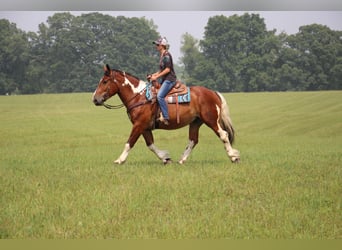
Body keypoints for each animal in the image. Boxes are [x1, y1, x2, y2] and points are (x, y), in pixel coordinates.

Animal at [92, 65, 239, 164]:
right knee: (193, 140)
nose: (95, 99)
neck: (139, 96)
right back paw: (182, 159)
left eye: (104, 81)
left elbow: (129, 142)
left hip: (211, 120)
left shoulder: (138, 125)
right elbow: (150, 145)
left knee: (223, 135)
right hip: (195, 122)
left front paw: (120, 160)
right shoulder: (144, 127)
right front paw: (165, 158)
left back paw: (234, 156)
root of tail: (213, 93)